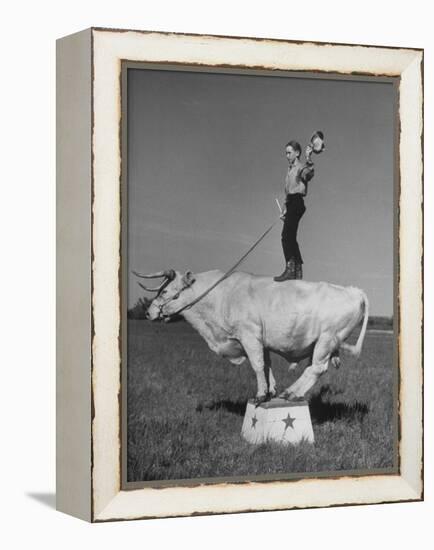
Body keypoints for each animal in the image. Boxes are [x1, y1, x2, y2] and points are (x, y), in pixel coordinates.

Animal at [142, 270, 370, 406]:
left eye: (165, 291)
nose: (147, 313)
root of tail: (354, 291)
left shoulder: (249, 336)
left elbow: (257, 365)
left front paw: (260, 394)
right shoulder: (262, 342)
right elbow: (267, 365)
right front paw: (270, 391)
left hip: (327, 340)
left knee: (317, 369)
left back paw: (291, 392)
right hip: (320, 344)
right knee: (312, 369)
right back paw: (290, 392)